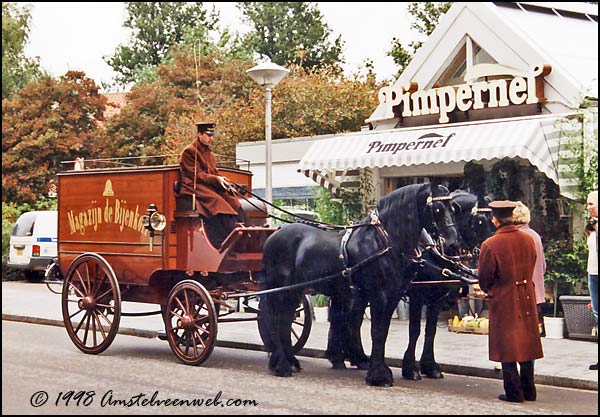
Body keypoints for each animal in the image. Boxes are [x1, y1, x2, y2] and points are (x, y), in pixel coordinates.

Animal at [258, 182, 460, 386]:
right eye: (437, 209)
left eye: (452, 209)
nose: (453, 243)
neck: (382, 242)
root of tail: (273, 235)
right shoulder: (382, 295)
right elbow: (378, 331)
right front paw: (379, 375)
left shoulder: (393, 296)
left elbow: (386, 331)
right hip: (280, 290)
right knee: (275, 319)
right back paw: (281, 365)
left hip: (293, 291)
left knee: (285, 320)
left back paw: (290, 362)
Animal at [400, 190, 494, 378]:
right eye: (480, 220)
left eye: (492, 219)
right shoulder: (416, 295)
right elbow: (415, 330)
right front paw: (410, 368)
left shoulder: (437, 298)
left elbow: (431, 331)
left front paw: (430, 366)